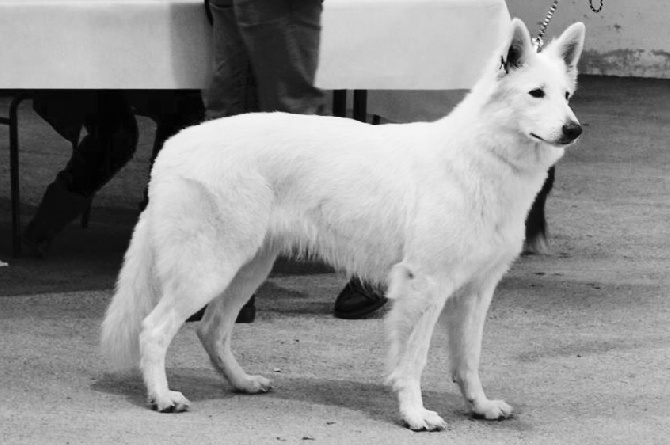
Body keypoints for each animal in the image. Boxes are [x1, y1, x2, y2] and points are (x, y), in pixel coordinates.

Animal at [101, 19, 588, 428]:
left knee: (211, 330)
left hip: (248, 268)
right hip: (210, 269)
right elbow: (413, 360)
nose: (574, 130)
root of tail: (175, 144)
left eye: (566, 96)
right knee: (155, 329)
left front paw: (480, 406)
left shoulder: (475, 292)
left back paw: (241, 382)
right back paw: (163, 397)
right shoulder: (424, 287)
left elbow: (468, 359)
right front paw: (415, 414)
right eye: (536, 93)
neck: (481, 157)